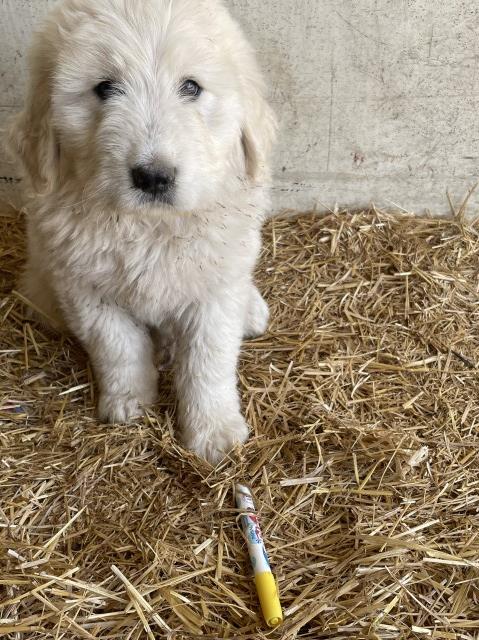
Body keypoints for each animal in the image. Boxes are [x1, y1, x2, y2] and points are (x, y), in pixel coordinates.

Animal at [8, 0, 278, 462]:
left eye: (191, 87)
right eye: (104, 88)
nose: (152, 177)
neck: (150, 226)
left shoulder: (215, 289)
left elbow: (208, 360)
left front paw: (214, 432)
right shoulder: (85, 288)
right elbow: (118, 347)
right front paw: (130, 403)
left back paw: (252, 311)